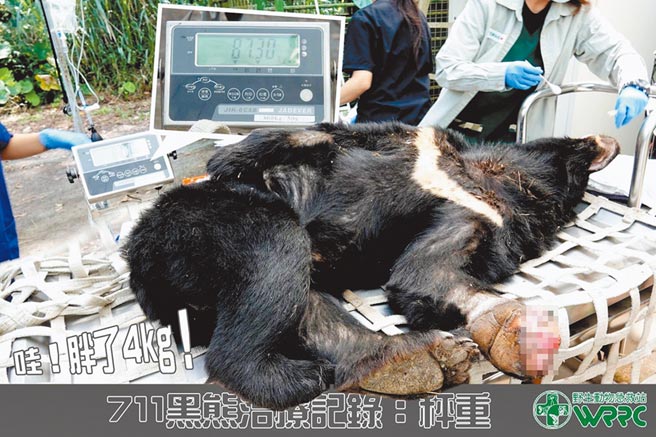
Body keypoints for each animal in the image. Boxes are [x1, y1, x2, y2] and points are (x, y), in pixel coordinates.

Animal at [123, 122, 619, 409]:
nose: (609, 142)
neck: (488, 176)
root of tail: (142, 268)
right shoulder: (421, 141)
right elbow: (278, 145)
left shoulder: (493, 223)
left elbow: (423, 275)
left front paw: (517, 334)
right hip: (199, 222)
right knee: (276, 246)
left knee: (303, 301)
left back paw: (413, 361)